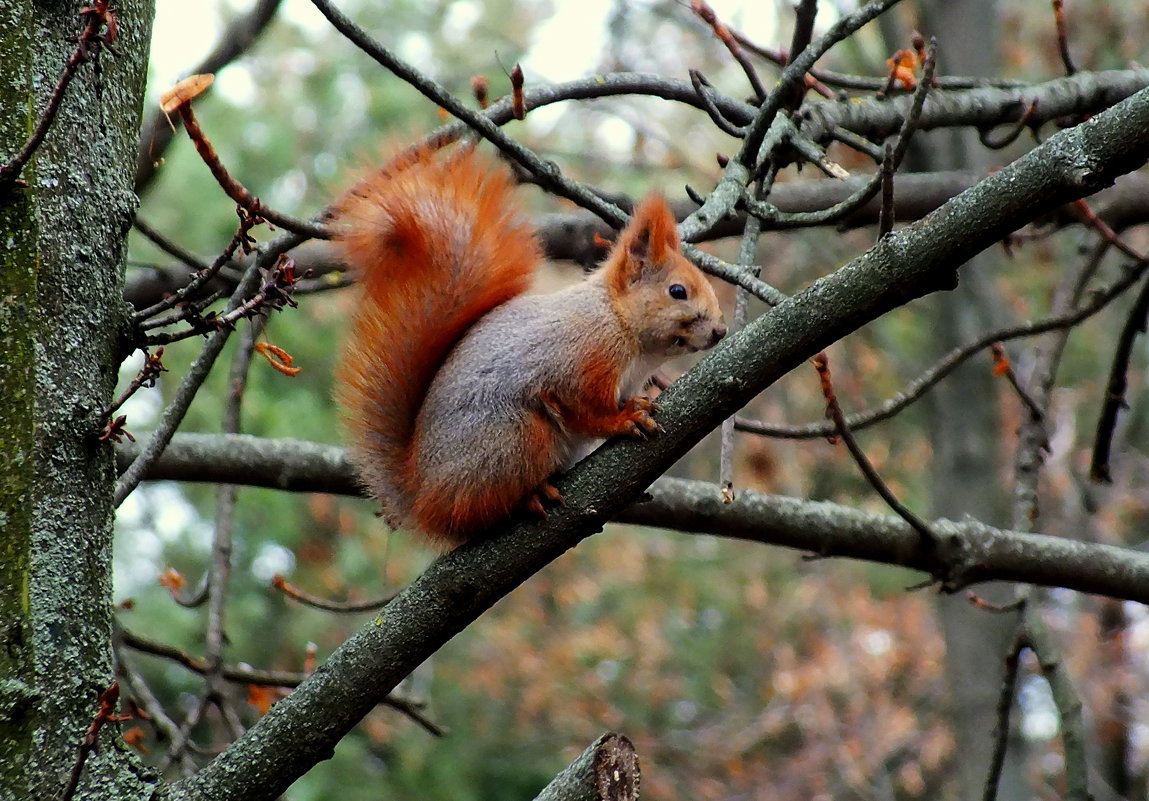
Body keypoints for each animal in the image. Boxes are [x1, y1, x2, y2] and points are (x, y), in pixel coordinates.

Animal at [333, 145, 726, 549]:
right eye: (677, 291)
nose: (720, 331)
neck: (617, 321)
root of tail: (422, 498)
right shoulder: (580, 361)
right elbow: (587, 410)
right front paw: (623, 419)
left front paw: (638, 404)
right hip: (516, 438)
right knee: (479, 510)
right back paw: (528, 497)